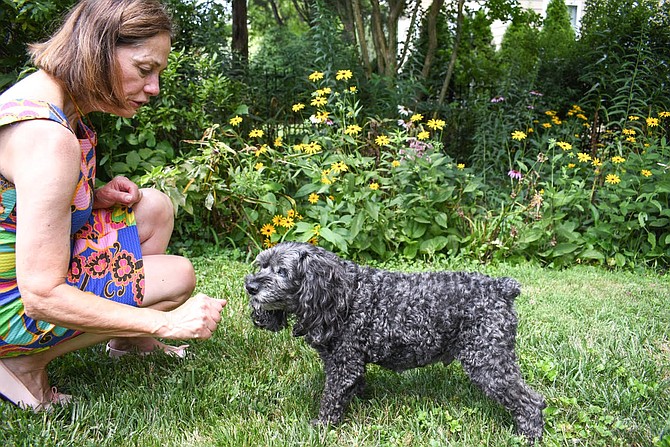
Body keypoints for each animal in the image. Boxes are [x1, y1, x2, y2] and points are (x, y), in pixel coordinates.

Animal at [245, 242, 544, 444]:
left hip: (487, 361)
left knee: (532, 402)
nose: (251, 286)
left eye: (282, 271)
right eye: (262, 265)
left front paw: (320, 427)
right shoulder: (348, 363)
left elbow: (331, 398)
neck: (344, 293)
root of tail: (501, 287)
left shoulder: (343, 364)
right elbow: (353, 388)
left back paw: (529, 435)